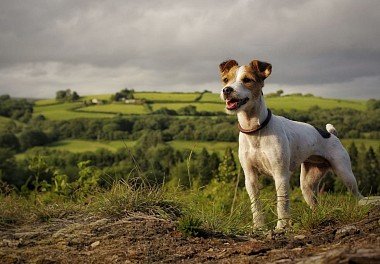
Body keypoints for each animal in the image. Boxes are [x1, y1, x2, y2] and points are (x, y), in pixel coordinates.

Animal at [220, 59, 362, 229]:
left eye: (247, 80)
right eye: (226, 80)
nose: (226, 90)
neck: (256, 130)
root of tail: (331, 134)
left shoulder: (281, 175)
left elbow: (282, 204)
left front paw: (281, 227)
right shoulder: (250, 177)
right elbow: (256, 205)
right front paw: (259, 227)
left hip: (345, 174)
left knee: (358, 195)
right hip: (307, 185)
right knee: (315, 204)